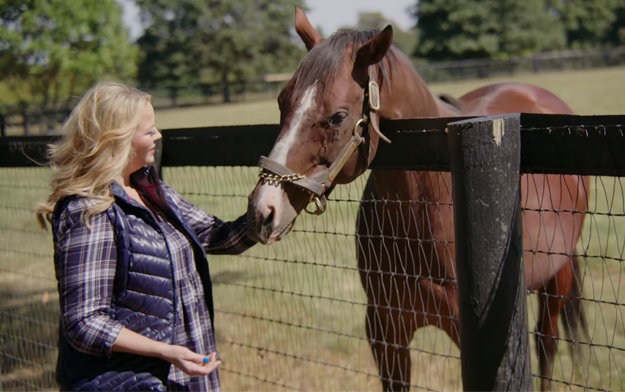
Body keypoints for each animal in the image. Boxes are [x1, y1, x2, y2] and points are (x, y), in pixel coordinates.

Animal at [246, 6, 588, 392]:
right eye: (281, 102)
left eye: (337, 116)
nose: (263, 210)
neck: (427, 206)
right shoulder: (386, 330)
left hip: (557, 280)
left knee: (547, 344)